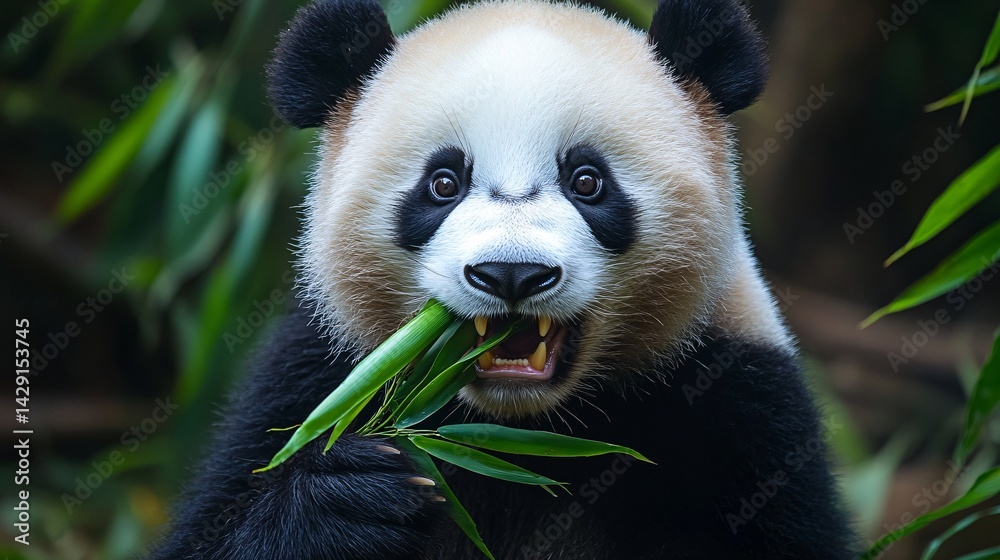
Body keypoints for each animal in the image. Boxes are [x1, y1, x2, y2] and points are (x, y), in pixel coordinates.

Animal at [152, 0, 857, 558]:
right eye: (442, 183)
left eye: (587, 181)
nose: (512, 273)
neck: (519, 433)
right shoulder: (316, 377)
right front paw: (344, 500)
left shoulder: (738, 407)